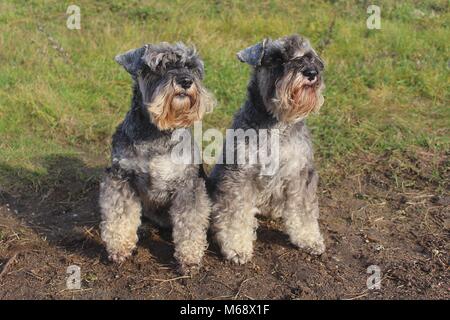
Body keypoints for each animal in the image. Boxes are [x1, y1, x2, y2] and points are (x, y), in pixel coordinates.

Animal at [99, 41, 215, 274]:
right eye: (159, 65)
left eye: (191, 67)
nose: (186, 81)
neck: (156, 133)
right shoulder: (121, 177)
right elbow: (120, 216)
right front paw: (119, 249)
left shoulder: (188, 185)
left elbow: (190, 225)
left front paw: (189, 258)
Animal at [209, 35, 326, 264]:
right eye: (277, 58)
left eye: (309, 56)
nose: (311, 73)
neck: (278, 124)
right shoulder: (240, 174)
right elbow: (236, 213)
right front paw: (236, 247)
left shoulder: (300, 173)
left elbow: (303, 210)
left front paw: (308, 239)